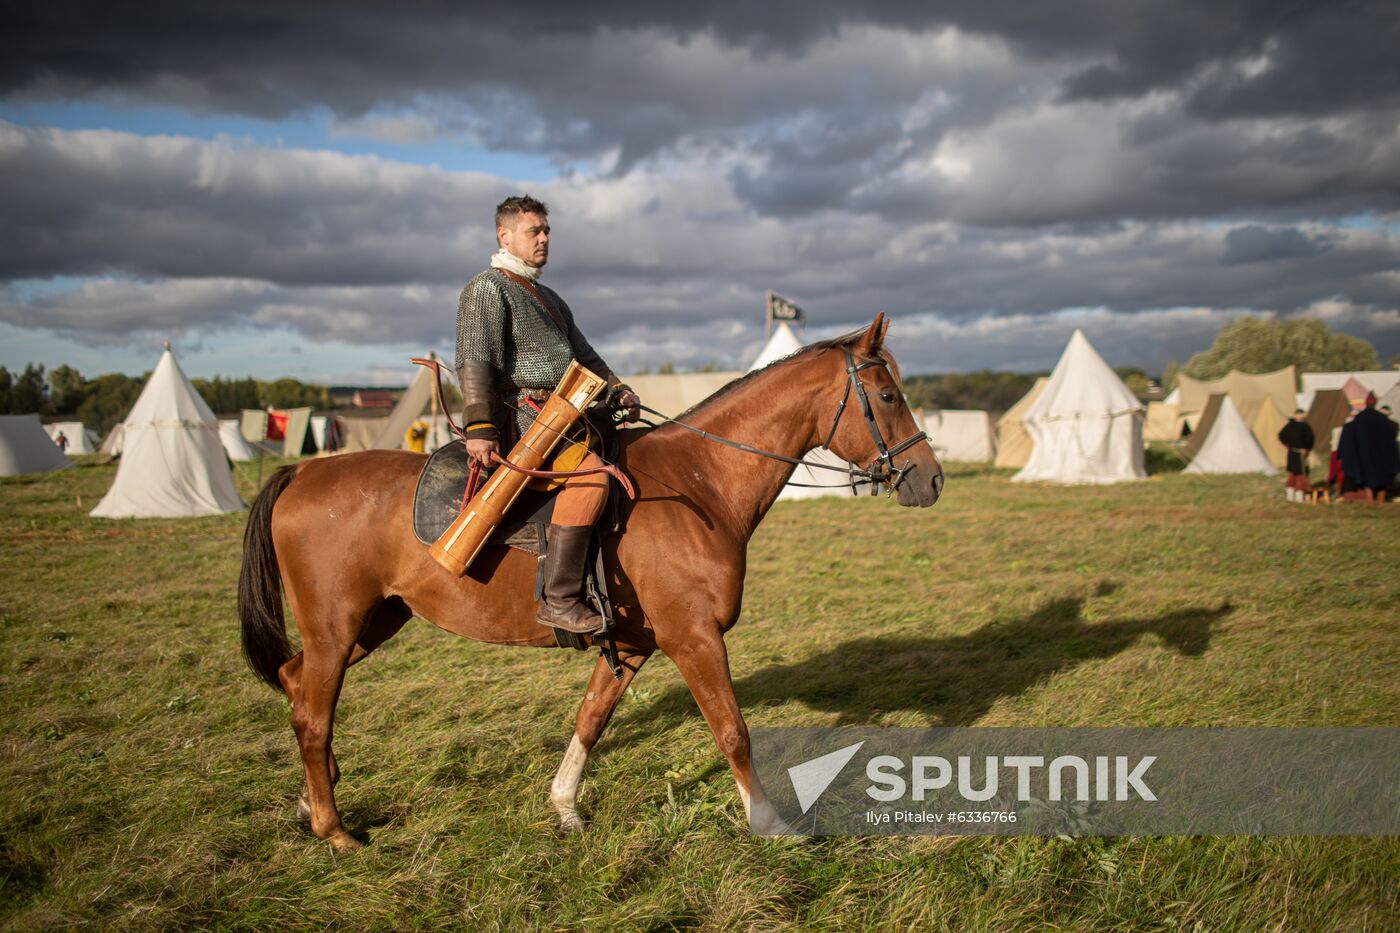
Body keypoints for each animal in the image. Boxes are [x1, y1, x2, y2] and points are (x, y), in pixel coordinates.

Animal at [238, 313, 940, 851]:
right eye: (886, 396)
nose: (928, 479)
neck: (700, 481)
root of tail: (302, 474)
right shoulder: (694, 639)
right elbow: (732, 731)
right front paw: (769, 822)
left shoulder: (631, 645)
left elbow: (591, 719)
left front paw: (564, 806)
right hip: (338, 628)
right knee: (314, 713)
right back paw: (334, 829)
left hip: (373, 621)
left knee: (297, 685)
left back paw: (313, 799)